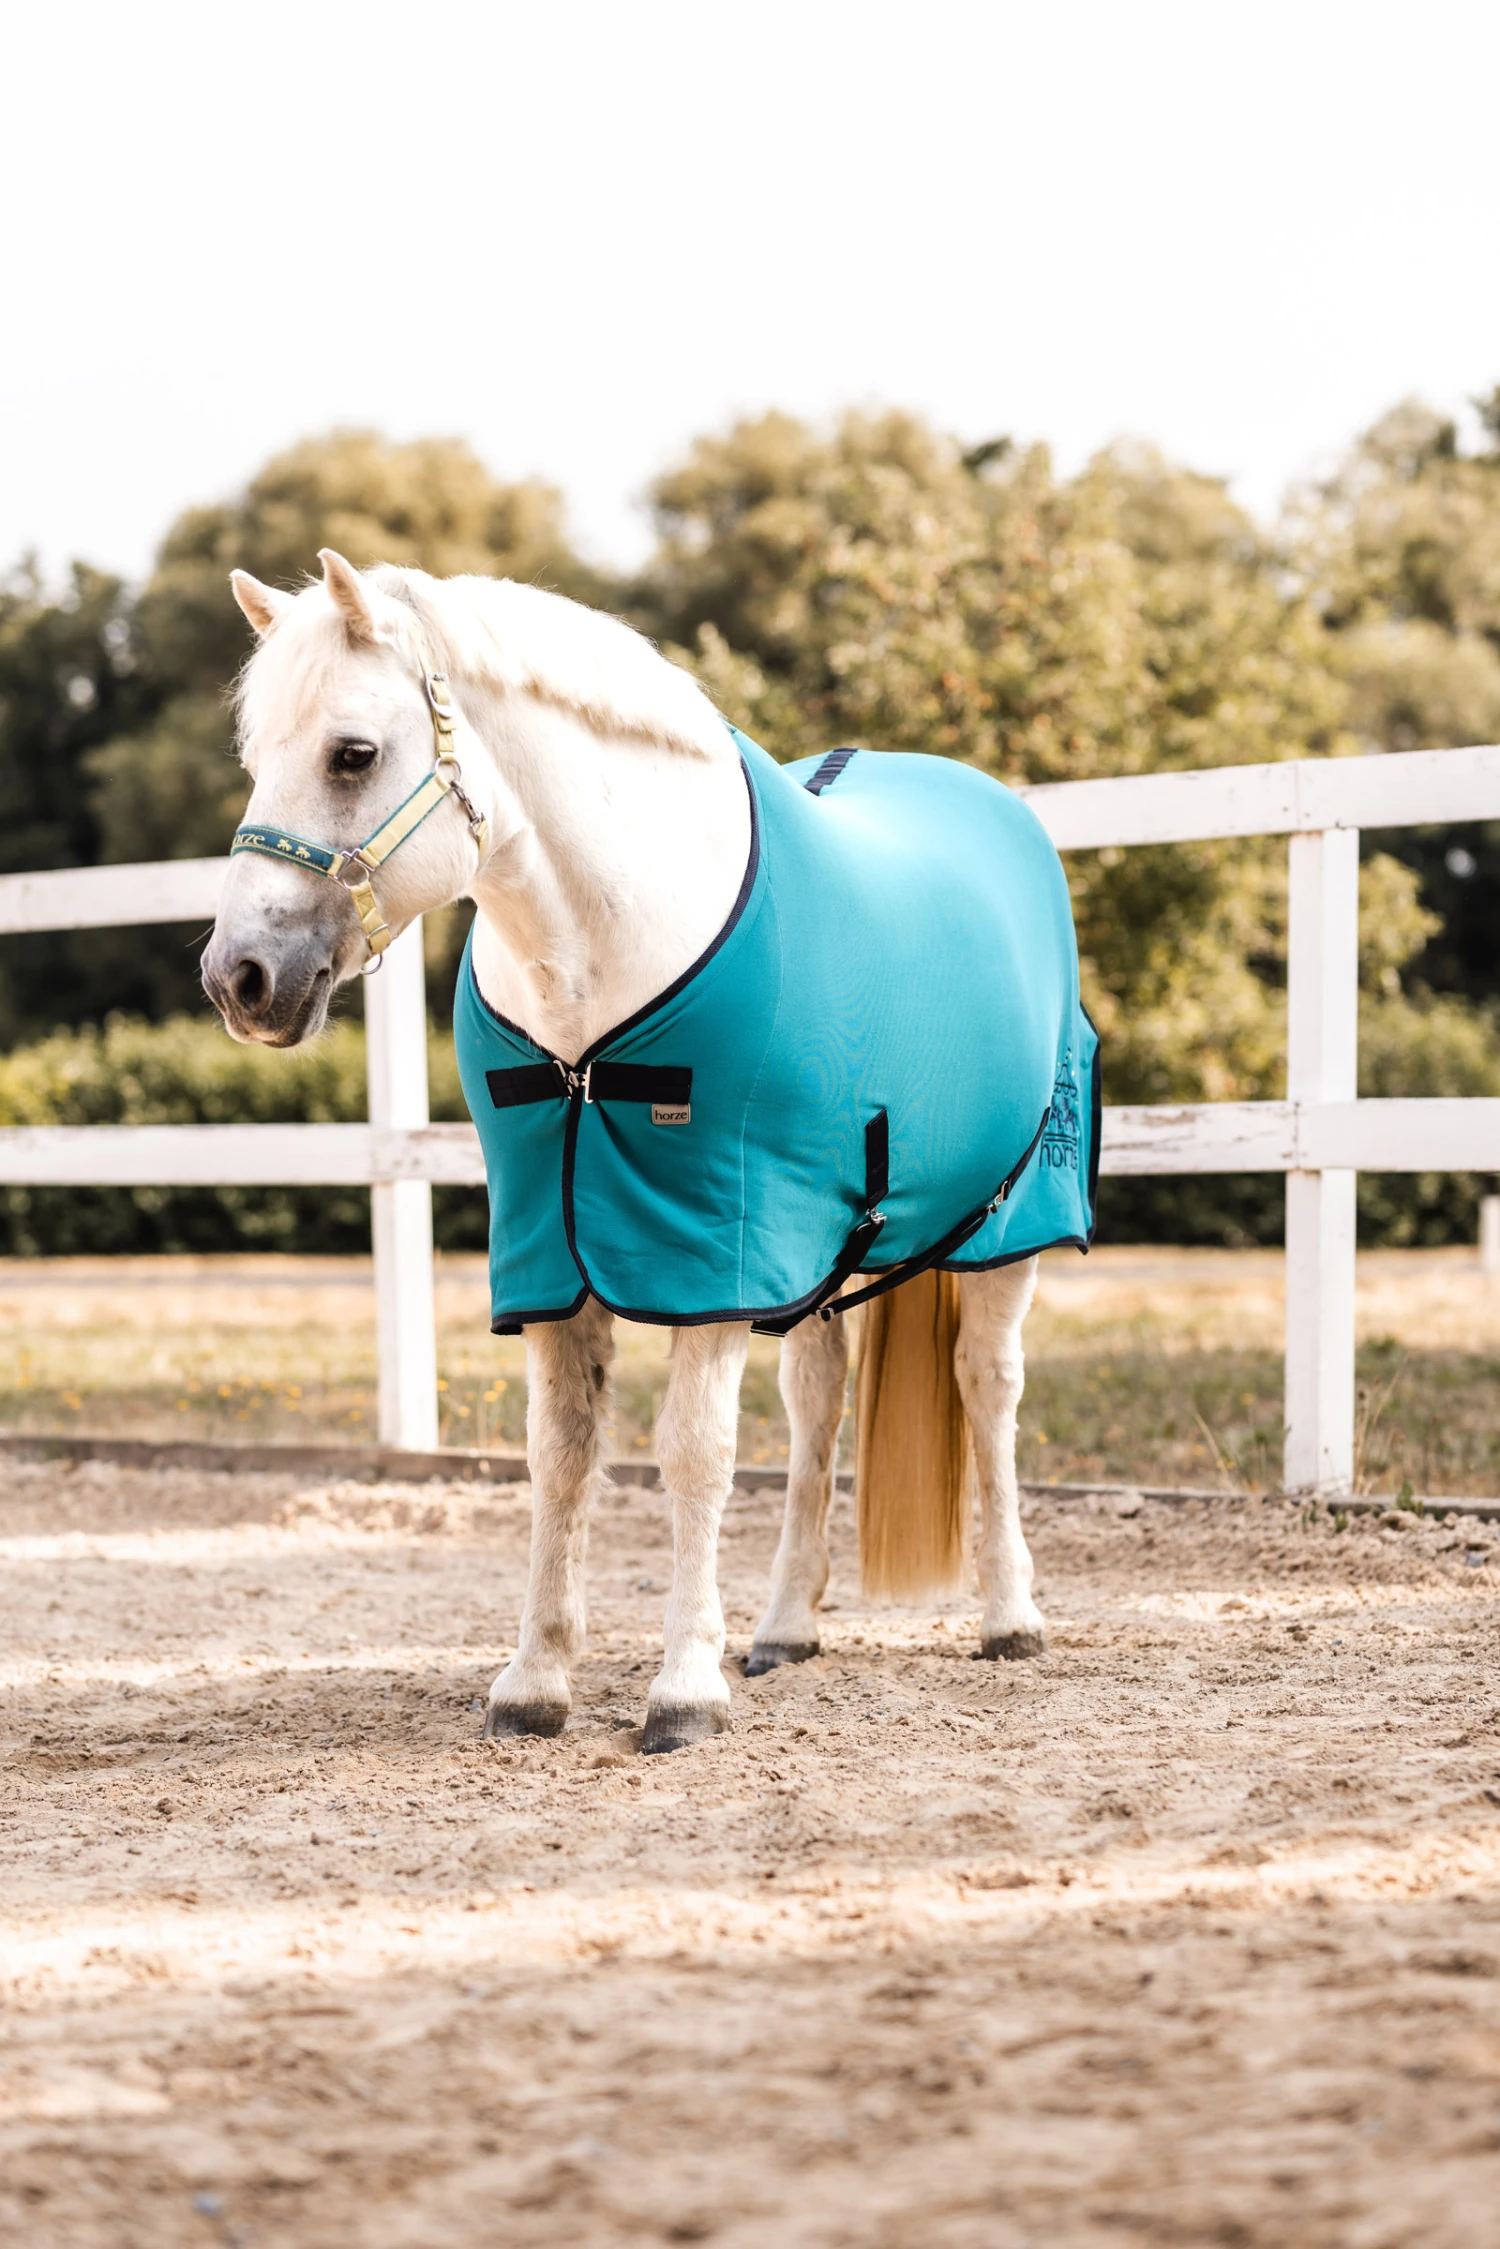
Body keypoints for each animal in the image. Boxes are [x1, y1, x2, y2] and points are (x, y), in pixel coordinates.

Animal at [203, 551, 1095, 1755]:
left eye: (353, 752)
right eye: (256, 761)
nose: (239, 977)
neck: (604, 963)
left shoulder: (714, 1248)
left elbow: (694, 1454)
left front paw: (682, 1687)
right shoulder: (554, 1248)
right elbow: (563, 1452)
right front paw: (535, 1678)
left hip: (1006, 1225)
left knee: (987, 1388)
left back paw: (1009, 1616)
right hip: (823, 1253)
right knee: (819, 1401)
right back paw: (784, 1626)